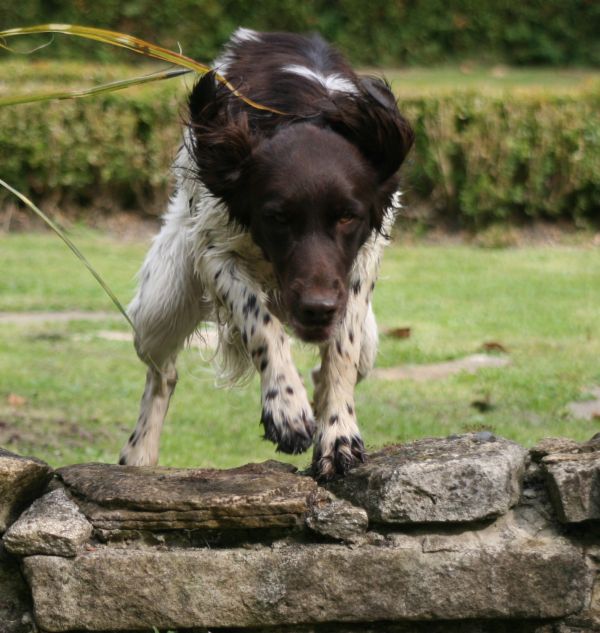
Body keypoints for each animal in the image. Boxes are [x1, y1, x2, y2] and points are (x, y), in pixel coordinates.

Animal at [119, 27, 414, 476]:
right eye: (277, 217)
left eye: (348, 217)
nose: (317, 309)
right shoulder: (215, 249)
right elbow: (259, 320)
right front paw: (286, 408)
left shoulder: (361, 265)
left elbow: (341, 351)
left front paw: (337, 433)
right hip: (160, 307)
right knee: (163, 374)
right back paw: (139, 454)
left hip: (371, 341)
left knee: (343, 364)